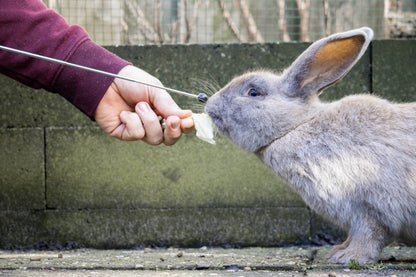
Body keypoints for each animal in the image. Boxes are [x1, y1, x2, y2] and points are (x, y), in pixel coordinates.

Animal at [205, 27, 416, 264]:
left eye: (253, 92)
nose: (210, 103)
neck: (295, 126)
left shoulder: (370, 207)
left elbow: (369, 233)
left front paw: (348, 257)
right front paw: (338, 250)